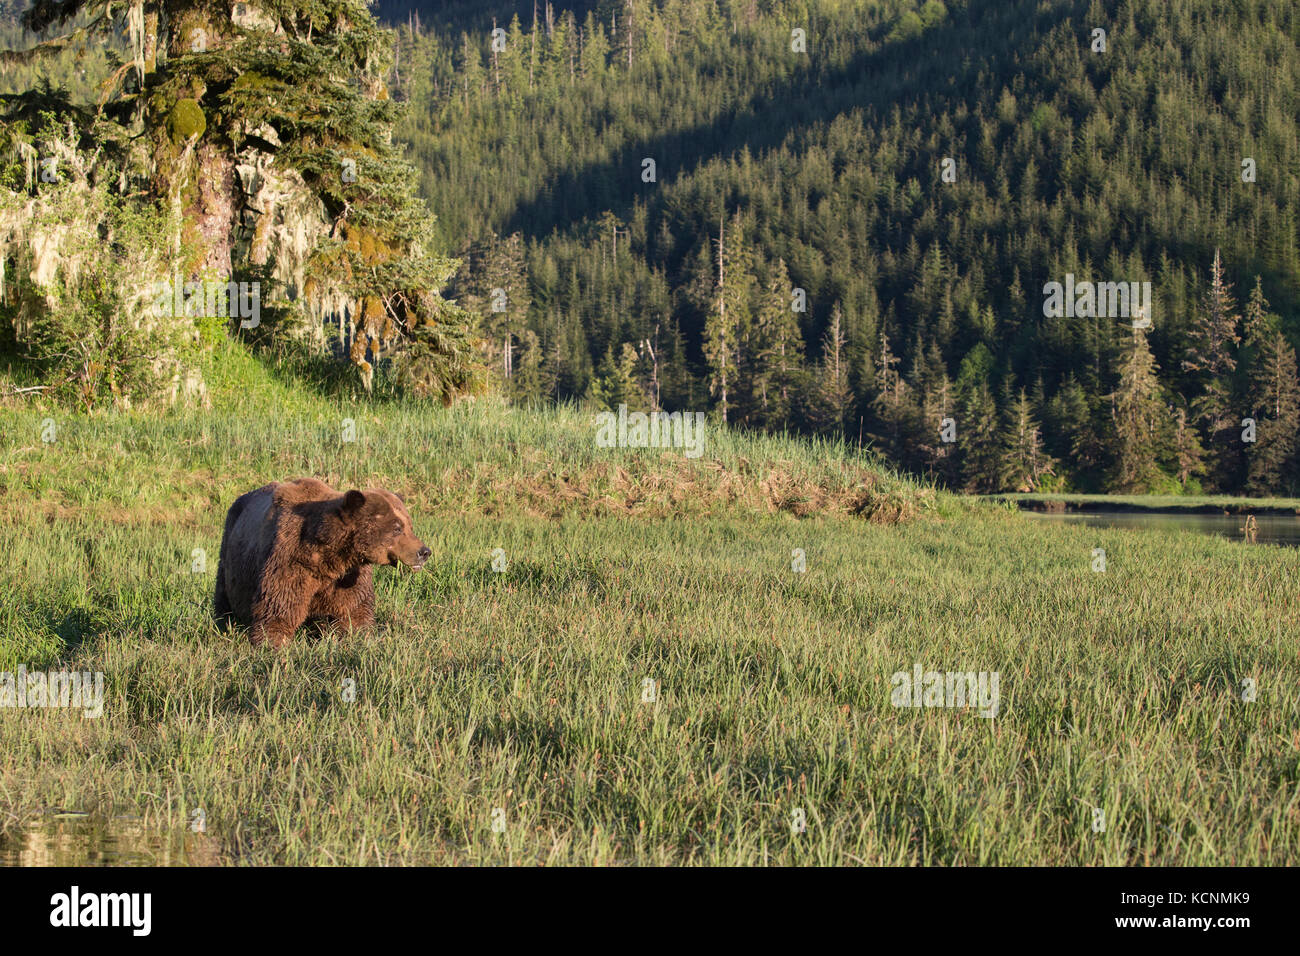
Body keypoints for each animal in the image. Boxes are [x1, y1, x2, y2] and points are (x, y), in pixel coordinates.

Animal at [214, 481, 431, 647]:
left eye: (409, 525)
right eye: (397, 528)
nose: (424, 551)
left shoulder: (347, 576)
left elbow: (354, 608)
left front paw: (361, 635)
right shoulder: (290, 560)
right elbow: (278, 605)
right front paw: (272, 643)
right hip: (229, 554)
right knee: (223, 594)